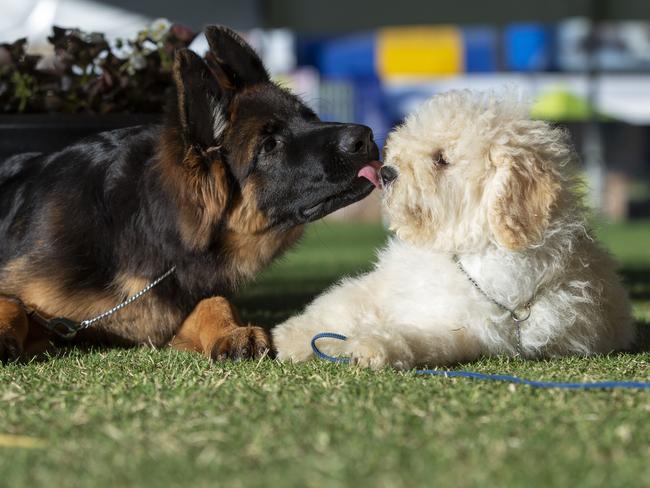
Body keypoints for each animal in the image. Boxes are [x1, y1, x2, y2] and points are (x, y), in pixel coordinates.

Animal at [0, 26, 380, 362]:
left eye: (310, 117)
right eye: (270, 145)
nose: (366, 136)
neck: (151, 224)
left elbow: (214, 302)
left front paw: (230, 331)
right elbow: (13, 303)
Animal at [270, 89, 632, 368]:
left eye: (441, 159)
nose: (387, 172)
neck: (462, 249)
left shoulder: (472, 328)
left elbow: (422, 337)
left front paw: (371, 346)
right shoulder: (384, 286)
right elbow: (342, 306)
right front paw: (291, 337)